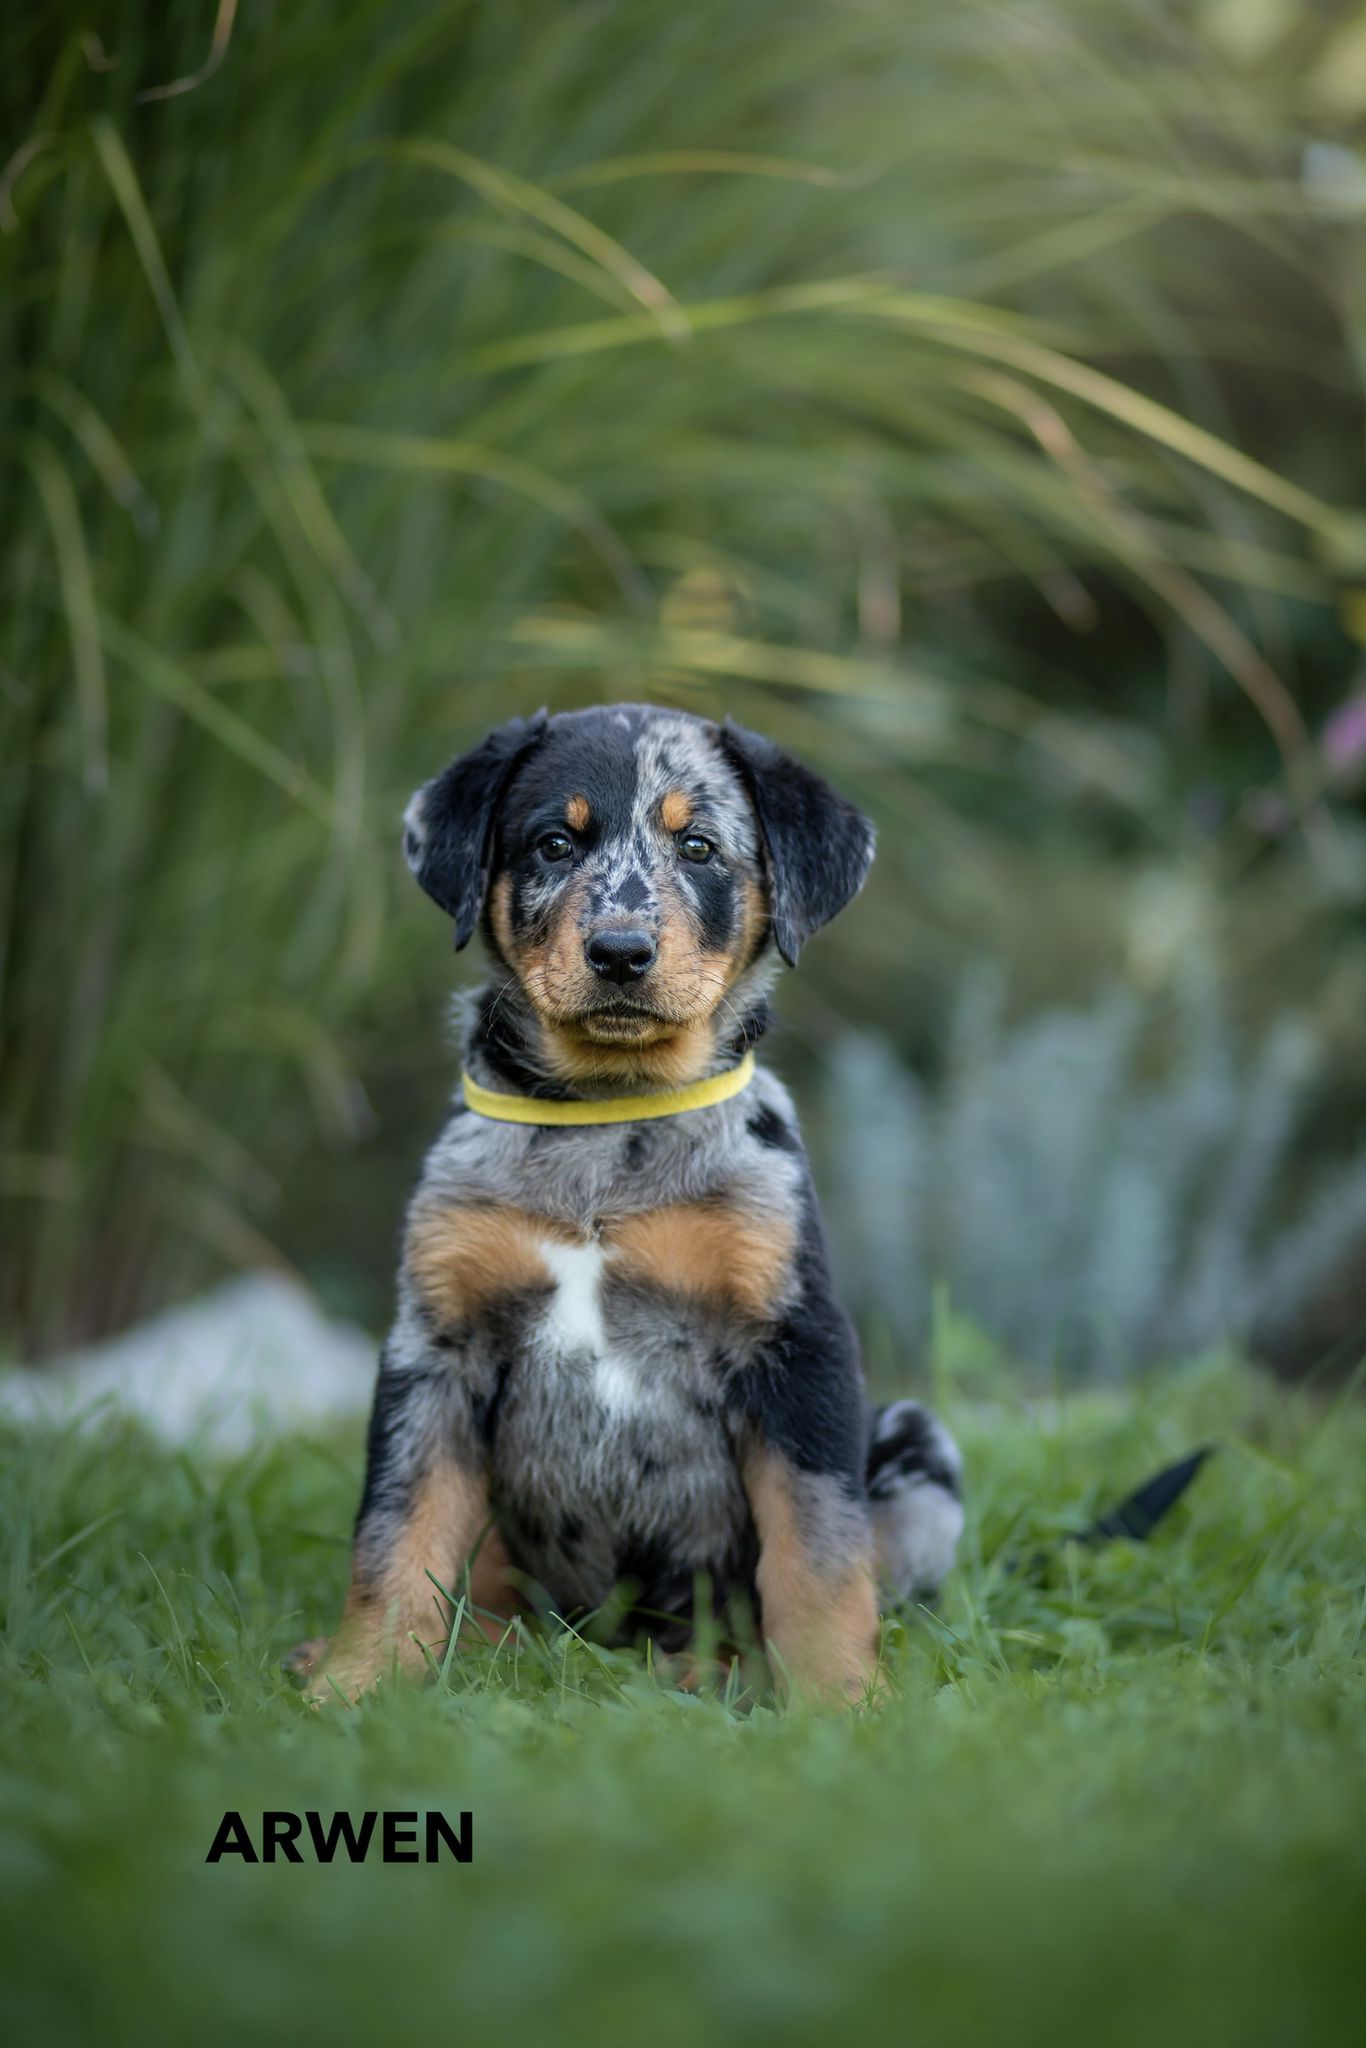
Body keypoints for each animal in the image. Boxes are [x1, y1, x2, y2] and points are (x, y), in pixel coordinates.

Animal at [294, 712, 966, 1703]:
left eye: (699, 847)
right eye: (554, 843)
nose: (619, 953)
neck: (606, 1128)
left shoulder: (797, 1347)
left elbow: (819, 1554)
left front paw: (837, 1703)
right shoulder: (436, 1347)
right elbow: (395, 1536)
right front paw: (356, 1682)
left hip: (917, 1445)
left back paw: (713, 1670)